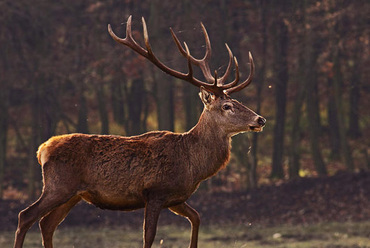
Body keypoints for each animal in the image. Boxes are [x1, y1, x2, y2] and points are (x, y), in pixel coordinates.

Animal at [13, 16, 264, 248]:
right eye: (227, 106)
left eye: (237, 101)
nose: (260, 119)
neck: (192, 165)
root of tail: (42, 149)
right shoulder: (154, 192)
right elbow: (149, 236)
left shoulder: (176, 198)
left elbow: (196, 217)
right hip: (58, 185)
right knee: (26, 215)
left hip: (72, 194)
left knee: (47, 223)